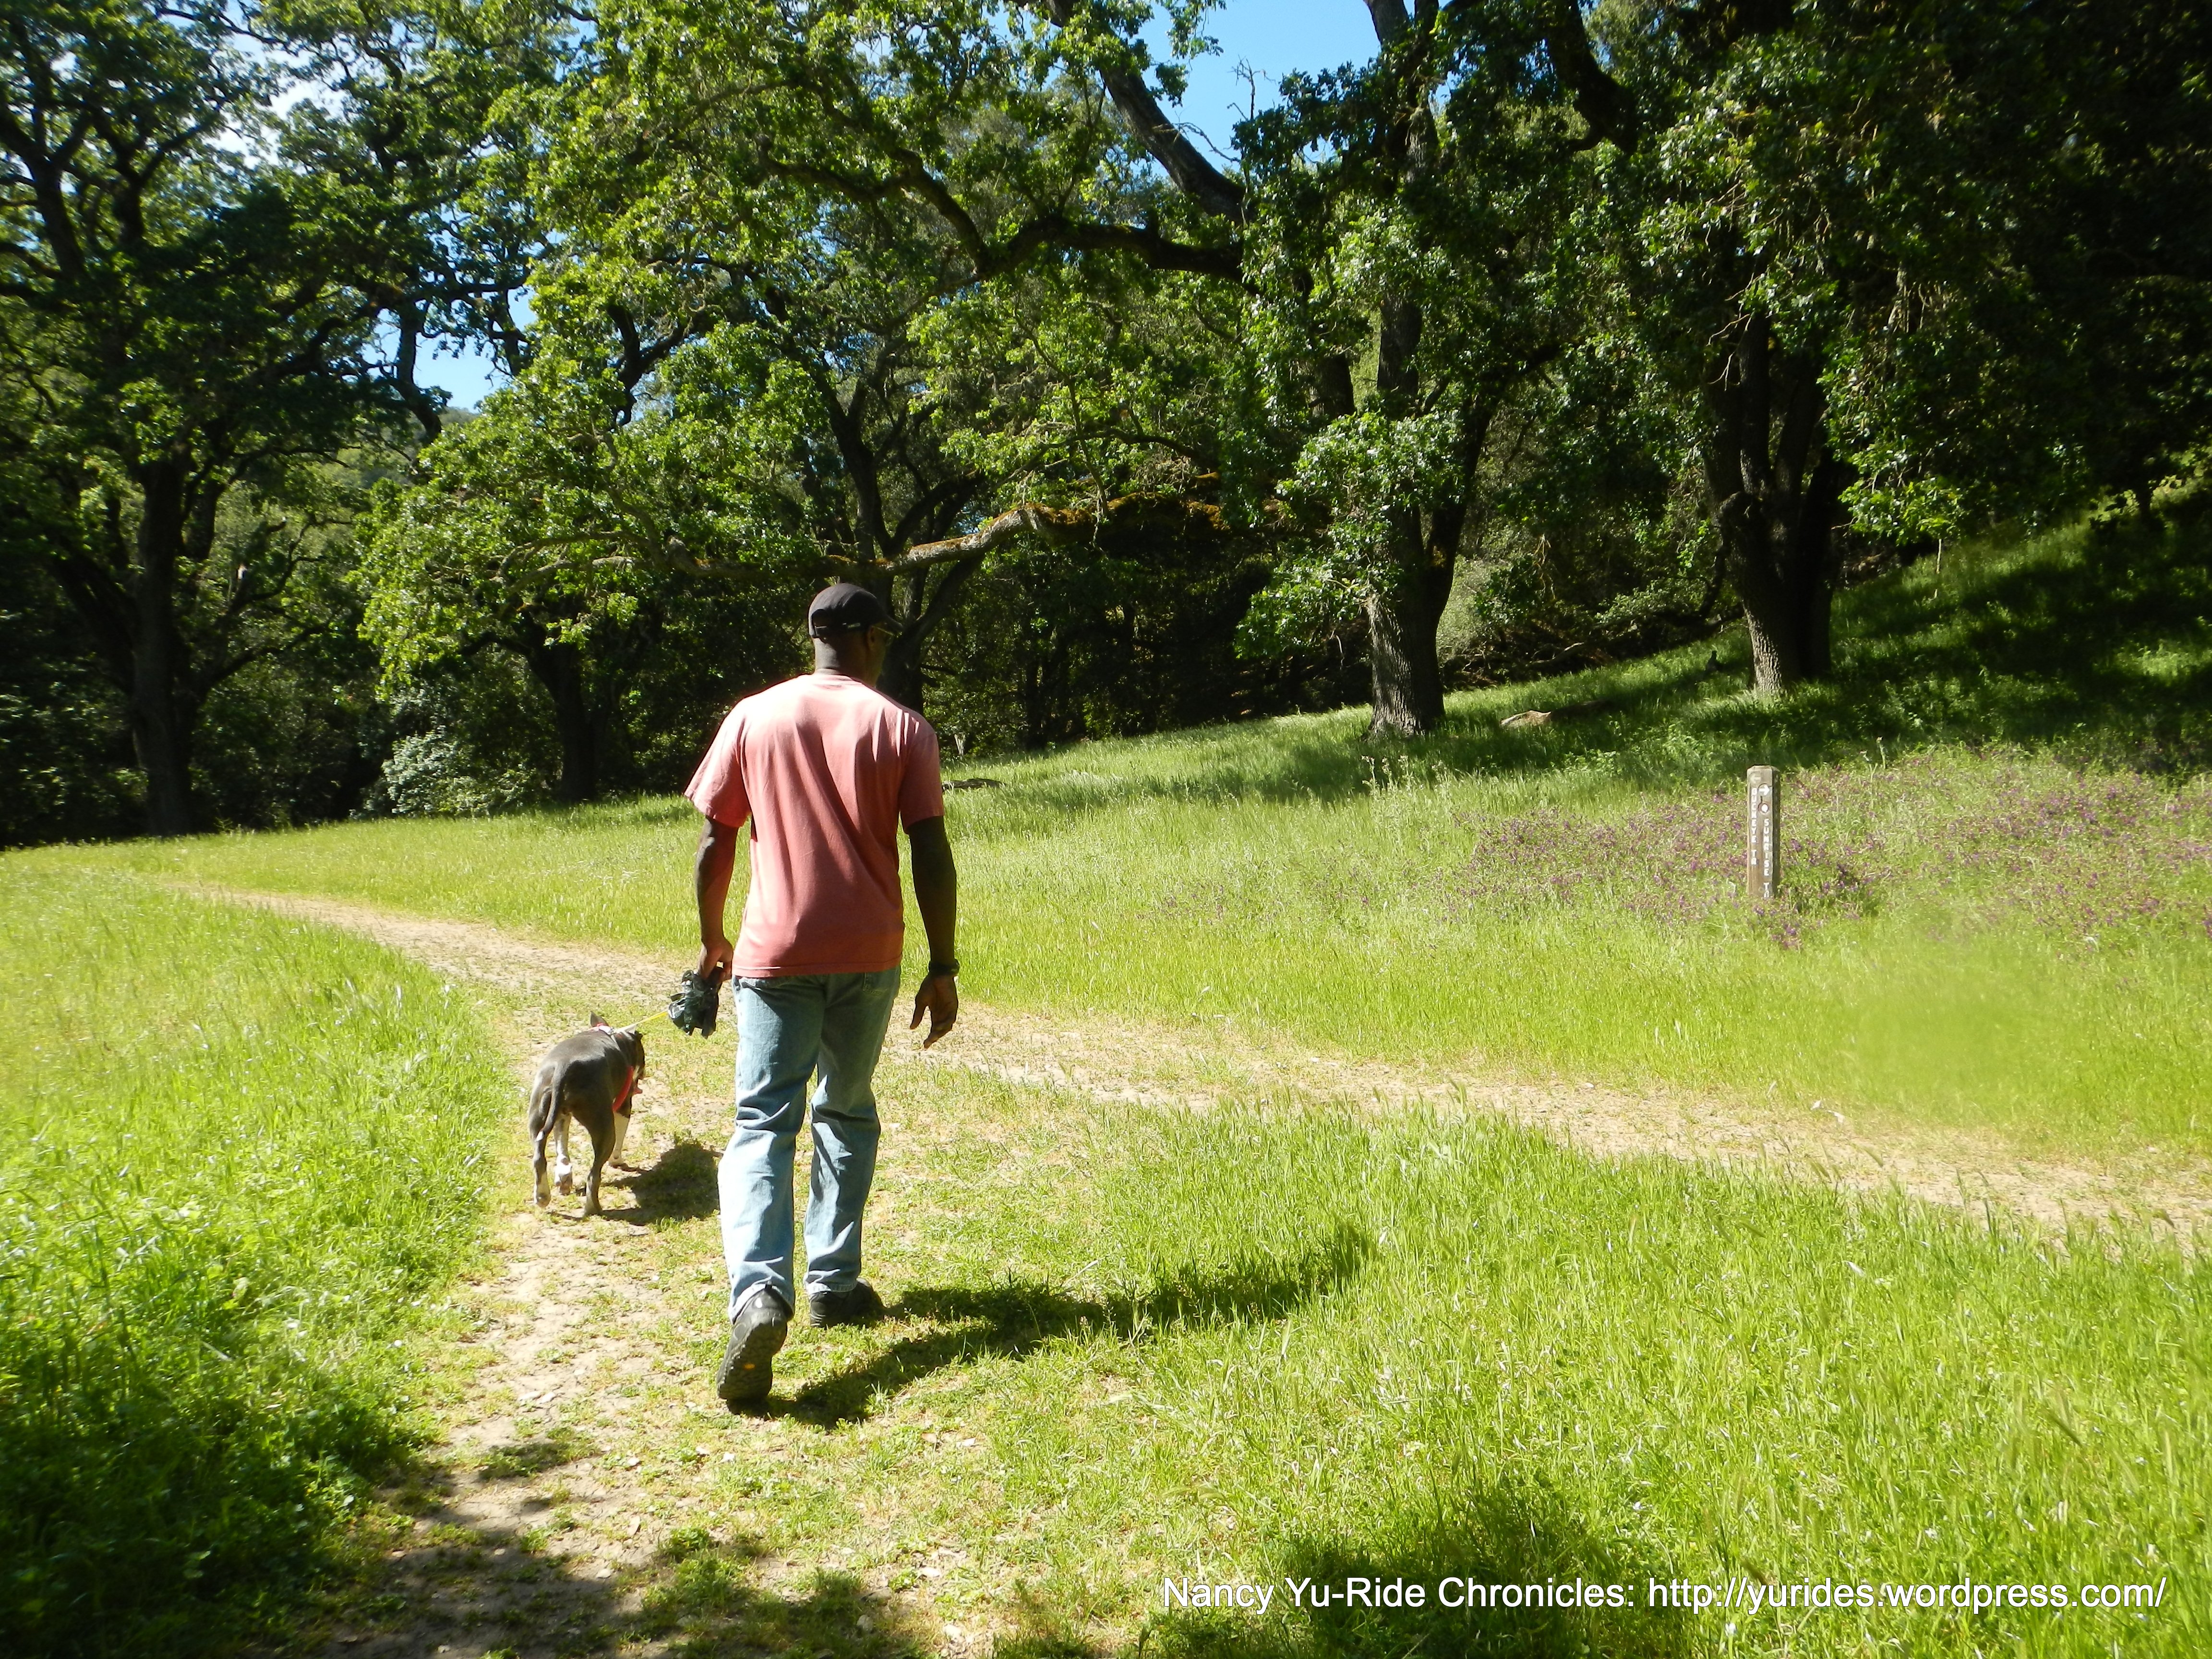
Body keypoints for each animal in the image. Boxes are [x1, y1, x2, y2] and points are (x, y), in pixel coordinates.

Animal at [529, 1016, 645, 1216]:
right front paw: (618, 1161)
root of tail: (564, 1066)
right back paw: (594, 1208)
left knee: (539, 1158)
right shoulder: (624, 1107)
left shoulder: (562, 1116)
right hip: (605, 1129)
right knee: (593, 1174)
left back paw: (543, 1197)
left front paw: (564, 1178)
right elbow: (621, 1139)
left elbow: (562, 1146)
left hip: (538, 1116)